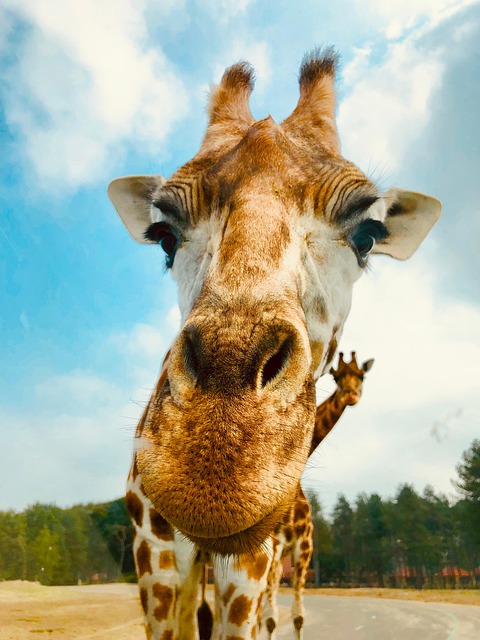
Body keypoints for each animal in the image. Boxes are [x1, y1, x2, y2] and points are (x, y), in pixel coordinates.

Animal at [259, 352, 374, 639]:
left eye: (361, 375)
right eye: (336, 376)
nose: (350, 395)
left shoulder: (304, 548)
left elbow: (298, 617)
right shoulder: (275, 548)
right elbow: (271, 619)